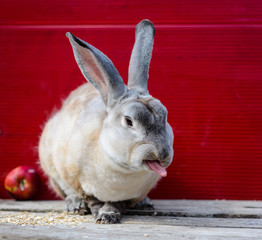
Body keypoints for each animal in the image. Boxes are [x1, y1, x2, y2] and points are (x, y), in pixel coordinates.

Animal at [38, 19, 174, 224]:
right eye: (129, 121)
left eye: (164, 116)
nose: (163, 153)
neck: (123, 170)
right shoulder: (77, 180)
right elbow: (91, 198)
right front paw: (99, 214)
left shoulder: (129, 195)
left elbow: (117, 203)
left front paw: (109, 214)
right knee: (66, 192)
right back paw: (75, 205)